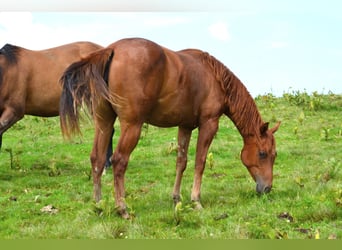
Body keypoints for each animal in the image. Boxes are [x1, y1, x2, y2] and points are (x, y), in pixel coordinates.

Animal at [59, 37, 280, 219]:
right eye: (262, 153)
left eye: (274, 155)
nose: (267, 188)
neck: (214, 77)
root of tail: (112, 50)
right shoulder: (209, 124)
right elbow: (200, 162)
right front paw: (196, 200)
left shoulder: (185, 126)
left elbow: (181, 162)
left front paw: (177, 197)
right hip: (132, 125)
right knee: (119, 161)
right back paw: (122, 208)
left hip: (104, 122)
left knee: (97, 159)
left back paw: (98, 205)